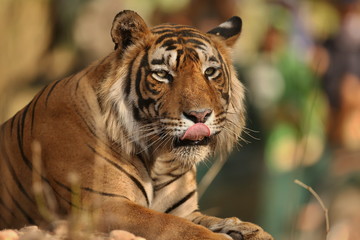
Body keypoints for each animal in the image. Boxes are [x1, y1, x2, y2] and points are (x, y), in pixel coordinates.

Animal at [0, 9, 272, 240]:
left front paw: (251, 230)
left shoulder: (185, 210)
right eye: (162, 74)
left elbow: (214, 220)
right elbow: (174, 226)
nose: (200, 115)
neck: (161, 161)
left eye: (210, 71)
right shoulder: (106, 205)